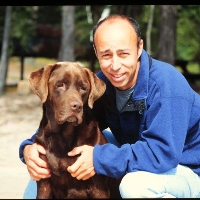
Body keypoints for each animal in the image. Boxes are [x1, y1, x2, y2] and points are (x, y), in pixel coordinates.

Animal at [28, 61, 120, 199]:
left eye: (83, 88)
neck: (63, 135)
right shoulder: (44, 184)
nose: (77, 106)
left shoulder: (98, 188)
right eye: (60, 84)